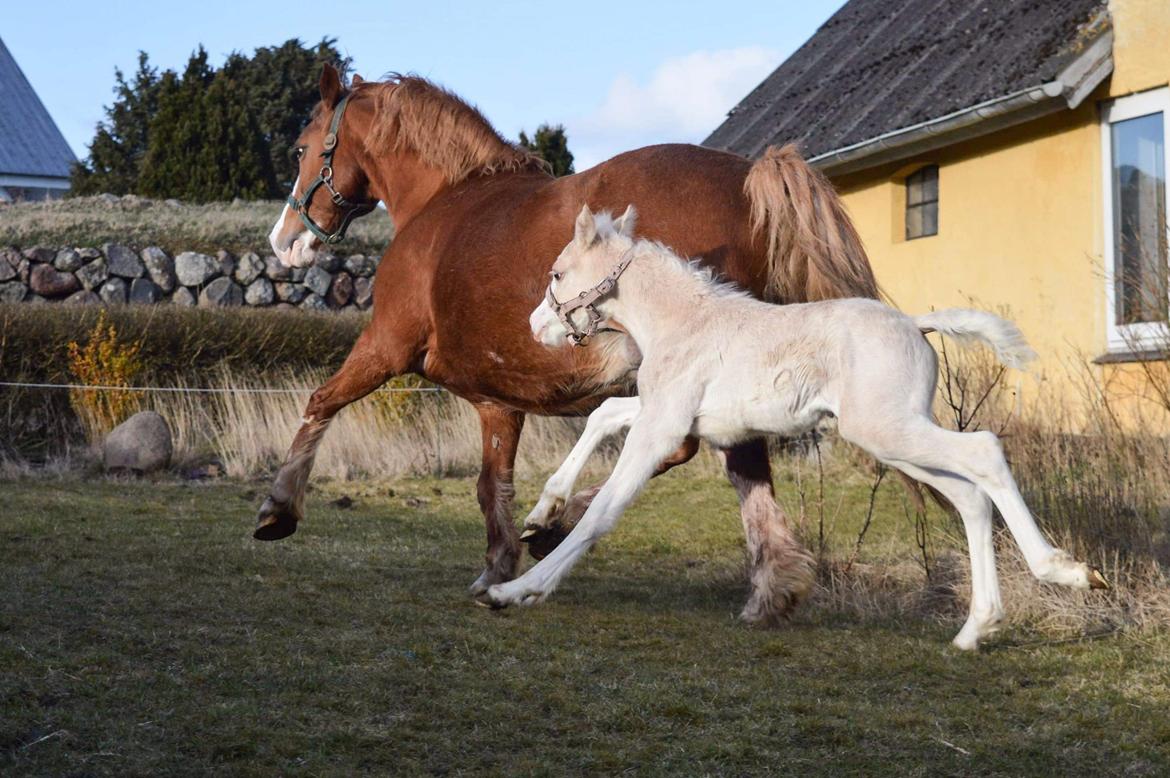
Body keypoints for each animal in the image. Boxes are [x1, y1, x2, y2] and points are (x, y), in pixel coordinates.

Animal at [263, 63, 879, 622]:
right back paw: (769, 585)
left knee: (699, 452)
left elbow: (322, 401)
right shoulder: (496, 400)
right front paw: (499, 562)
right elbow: (492, 483)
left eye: (299, 149)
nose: (283, 242)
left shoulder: (387, 346)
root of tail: (750, 177)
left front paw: (278, 508)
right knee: (730, 459)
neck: (444, 202)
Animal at [484, 203, 1104, 645]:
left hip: (888, 430)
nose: (536, 326)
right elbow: (605, 413)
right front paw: (542, 511)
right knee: (970, 495)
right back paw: (977, 629)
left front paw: (515, 590)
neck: (681, 320)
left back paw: (1066, 572)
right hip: (894, 438)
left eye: (556, 274)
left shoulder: (663, 427)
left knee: (985, 451)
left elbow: (603, 513)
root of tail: (915, 323)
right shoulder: (671, 414)